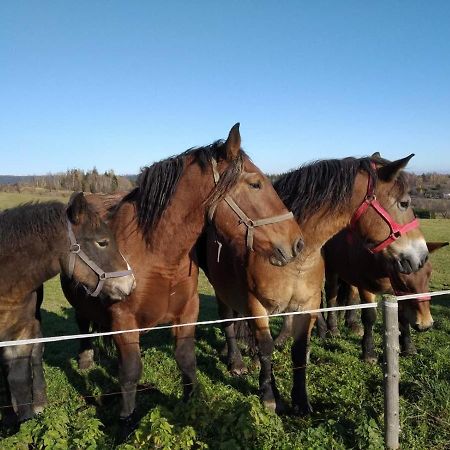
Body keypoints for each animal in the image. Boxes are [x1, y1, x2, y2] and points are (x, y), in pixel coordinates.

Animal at [59, 124, 304, 432]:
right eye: (256, 184)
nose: (297, 243)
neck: (156, 254)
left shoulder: (187, 312)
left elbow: (186, 360)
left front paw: (192, 403)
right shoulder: (124, 321)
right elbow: (130, 373)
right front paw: (126, 423)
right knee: (82, 322)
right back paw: (85, 358)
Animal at [201, 152, 428, 414]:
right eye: (404, 203)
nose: (422, 256)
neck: (296, 256)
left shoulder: (306, 306)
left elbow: (299, 351)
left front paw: (301, 401)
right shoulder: (256, 305)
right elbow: (266, 346)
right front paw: (269, 395)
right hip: (222, 290)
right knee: (228, 322)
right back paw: (235, 361)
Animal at [274, 239, 446, 362]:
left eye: (429, 274)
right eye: (402, 279)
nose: (425, 323)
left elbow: (402, 316)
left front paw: (409, 348)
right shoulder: (367, 287)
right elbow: (369, 316)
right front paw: (369, 353)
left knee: (350, 294)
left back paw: (352, 323)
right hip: (331, 268)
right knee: (331, 294)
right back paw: (332, 328)